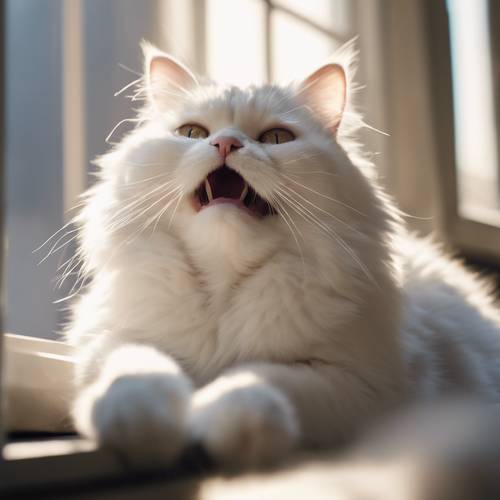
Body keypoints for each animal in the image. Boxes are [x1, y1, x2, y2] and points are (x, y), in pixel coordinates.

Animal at [68, 43, 500, 468]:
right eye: (192, 133)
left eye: (276, 138)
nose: (226, 143)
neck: (224, 283)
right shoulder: (111, 339)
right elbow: (138, 370)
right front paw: (140, 425)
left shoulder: (360, 383)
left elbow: (263, 378)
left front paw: (230, 421)